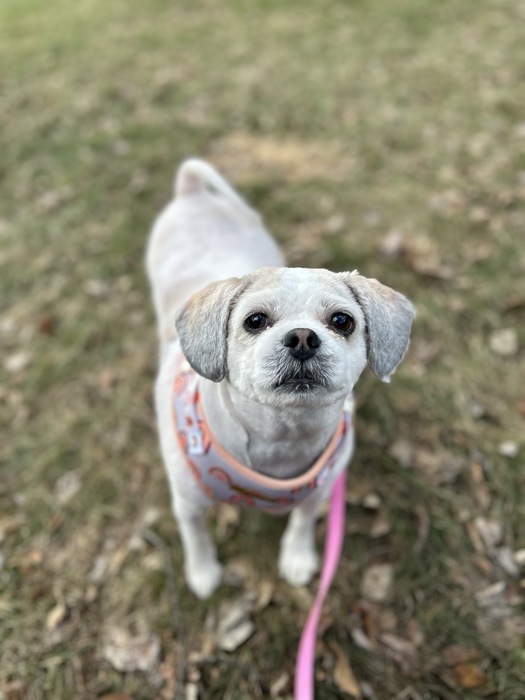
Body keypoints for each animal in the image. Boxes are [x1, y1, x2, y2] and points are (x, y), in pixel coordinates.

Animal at [146, 161, 414, 600]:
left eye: (342, 321)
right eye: (255, 320)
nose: (303, 337)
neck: (283, 436)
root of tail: (191, 191)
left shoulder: (320, 490)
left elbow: (302, 521)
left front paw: (297, 557)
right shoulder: (187, 503)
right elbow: (195, 537)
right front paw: (203, 572)